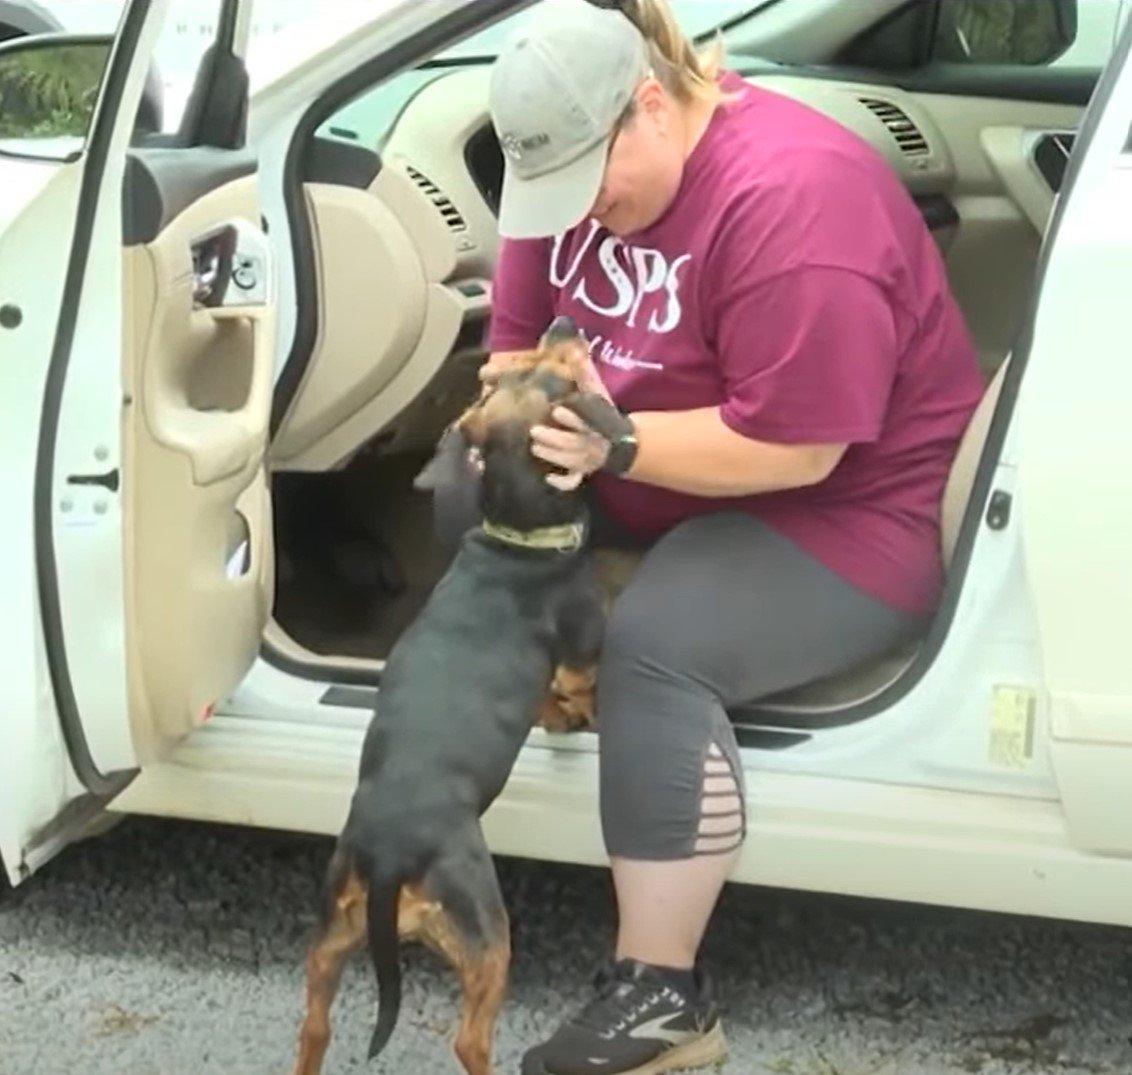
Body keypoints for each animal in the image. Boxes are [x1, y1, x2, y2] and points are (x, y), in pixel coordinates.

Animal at [287, 314, 624, 1075]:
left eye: (513, 375)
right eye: (555, 379)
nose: (564, 322)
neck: (519, 538)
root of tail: (388, 858)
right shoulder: (581, 654)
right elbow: (580, 687)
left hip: (331, 931)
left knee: (313, 1026)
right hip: (484, 933)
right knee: (471, 1037)